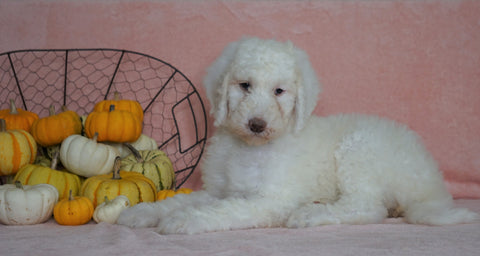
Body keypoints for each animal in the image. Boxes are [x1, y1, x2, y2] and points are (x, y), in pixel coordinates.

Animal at [118, 36, 478, 234]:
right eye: (244, 85)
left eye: (279, 91)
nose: (257, 124)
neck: (250, 147)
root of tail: (430, 180)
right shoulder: (219, 191)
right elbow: (184, 200)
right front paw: (142, 213)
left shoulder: (270, 200)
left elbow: (222, 211)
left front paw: (182, 221)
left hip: (360, 150)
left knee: (367, 206)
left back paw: (310, 214)